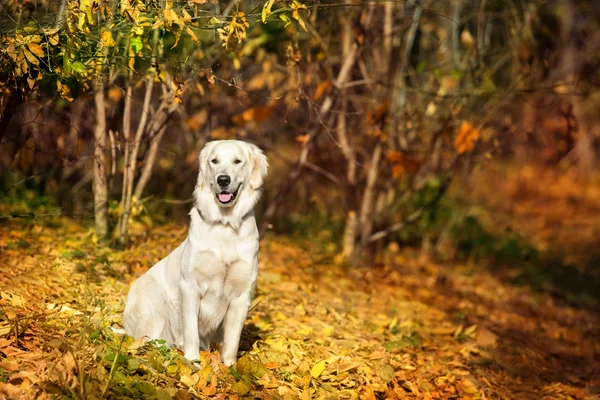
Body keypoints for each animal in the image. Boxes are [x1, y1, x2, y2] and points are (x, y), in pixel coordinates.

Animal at [123, 140, 268, 366]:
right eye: (214, 161)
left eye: (237, 161)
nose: (223, 179)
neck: (224, 224)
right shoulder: (190, 285)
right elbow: (191, 330)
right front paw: (192, 361)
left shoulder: (241, 294)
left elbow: (232, 340)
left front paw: (230, 367)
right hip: (152, 298)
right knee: (148, 340)